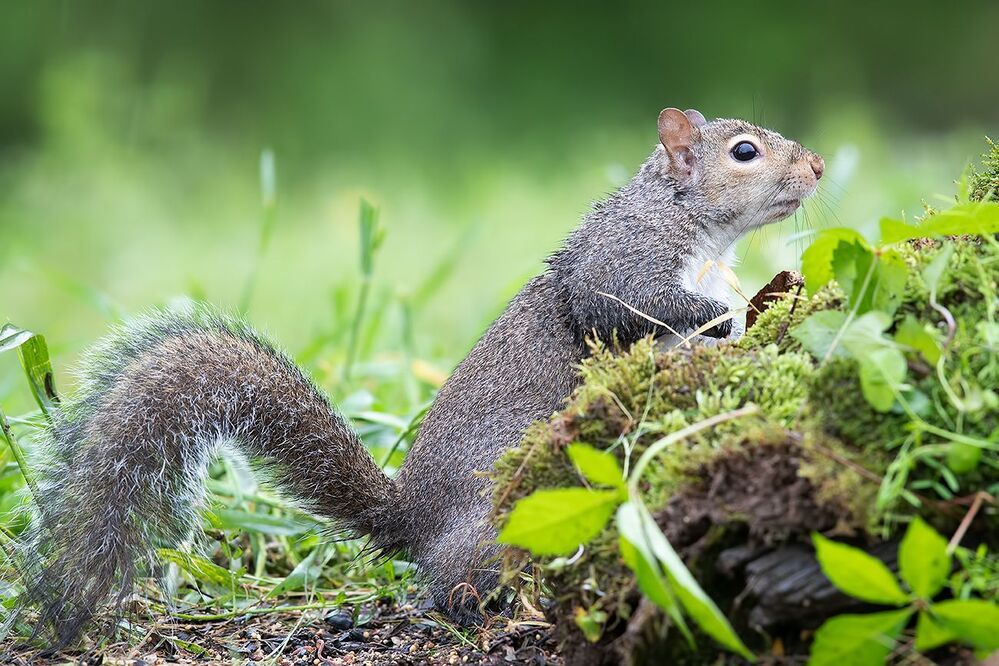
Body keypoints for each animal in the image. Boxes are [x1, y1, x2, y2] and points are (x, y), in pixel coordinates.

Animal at [18, 108, 823, 647]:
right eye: (744, 152)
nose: (817, 167)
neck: (692, 224)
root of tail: (412, 522)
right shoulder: (621, 264)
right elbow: (633, 305)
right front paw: (719, 317)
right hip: (503, 514)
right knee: (453, 588)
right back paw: (502, 608)